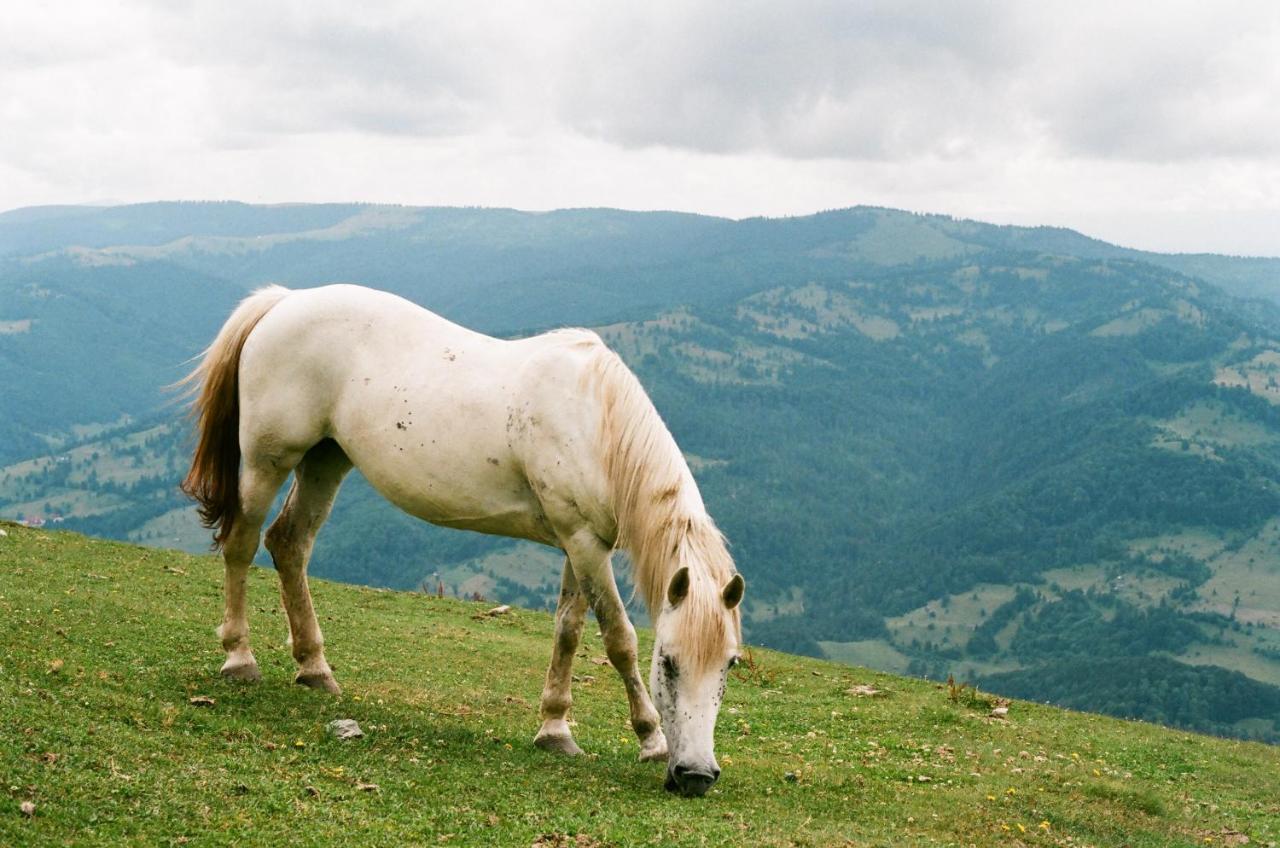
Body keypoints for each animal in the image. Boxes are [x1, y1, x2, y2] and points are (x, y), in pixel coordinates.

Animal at [175, 284, 747, 799]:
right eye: (668, 662)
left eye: (729, 664)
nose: (696, 776)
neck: (596, 419)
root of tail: (284, 300)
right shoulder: (585, 545)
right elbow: (618, 639)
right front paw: (650, 739)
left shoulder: (583, 543)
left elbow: (568, 631)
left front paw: (554, 730)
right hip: (267, 461)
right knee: (243, 544)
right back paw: (239, 658)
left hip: (324, 460)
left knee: (289, 545)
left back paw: (315, 669)